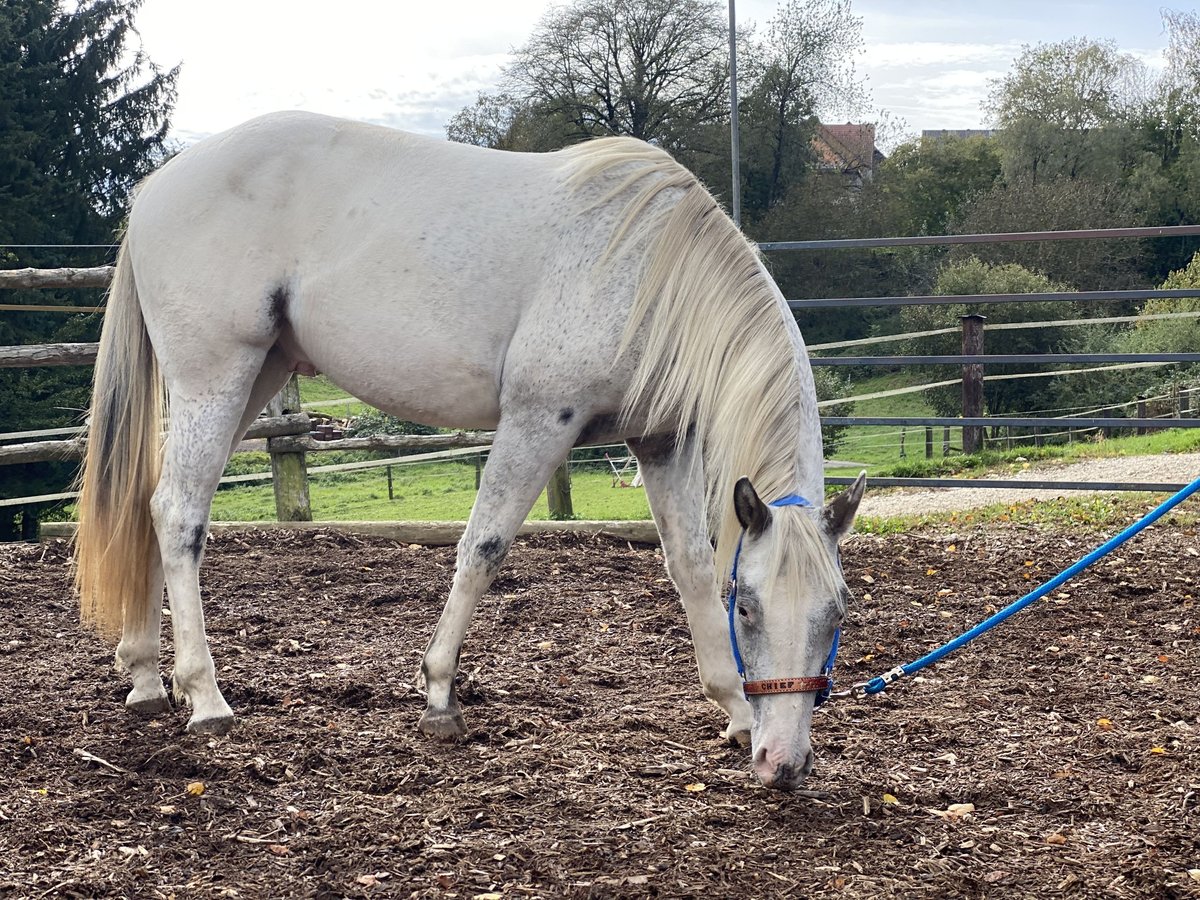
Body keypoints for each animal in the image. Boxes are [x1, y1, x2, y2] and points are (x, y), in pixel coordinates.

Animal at [72, 111, 864, 787]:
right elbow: (483, 547)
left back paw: (146, 678)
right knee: (179, 514)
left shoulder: (662, 441)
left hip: (253, 378)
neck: (652, 272)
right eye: (750, 609)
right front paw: (439, 695)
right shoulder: (540, 420)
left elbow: (691, 565)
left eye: (837, 614)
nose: (784, 763)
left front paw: (732, 710)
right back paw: (205, 697)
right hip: (217, 378)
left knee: (150, 505)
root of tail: (156, 186)